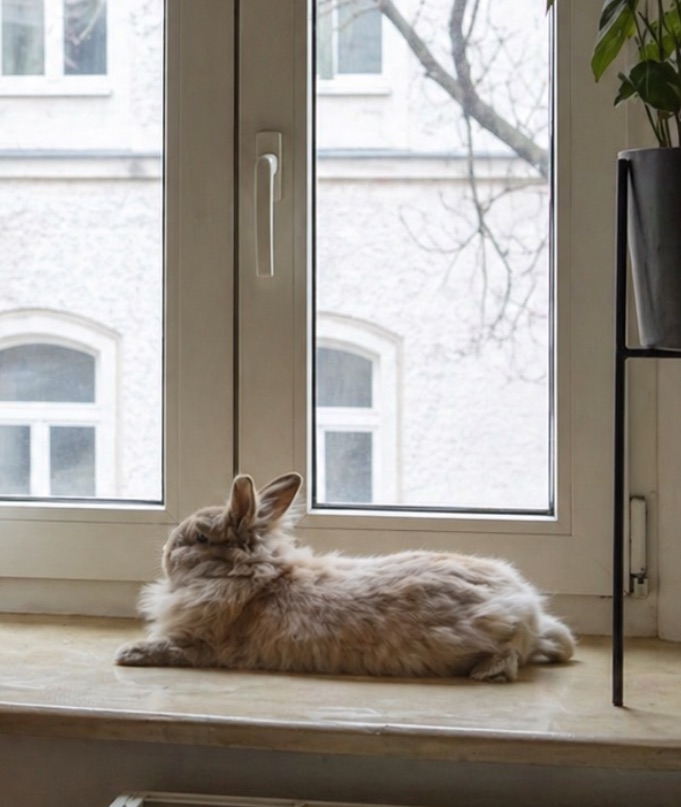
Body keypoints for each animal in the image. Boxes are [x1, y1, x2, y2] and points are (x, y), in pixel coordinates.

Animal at [115, 472, 575, 682]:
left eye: (200, 537)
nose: (166, 552)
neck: (254, 577)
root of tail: (526, 606)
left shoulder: (204, 644)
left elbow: (171, 649)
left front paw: (128, 653)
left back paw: (488, 671)